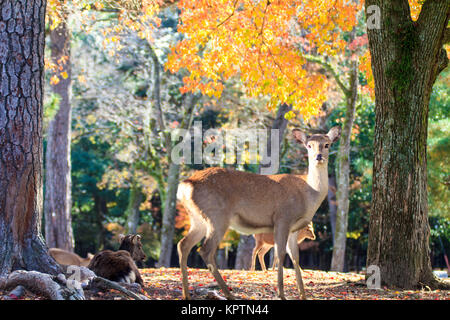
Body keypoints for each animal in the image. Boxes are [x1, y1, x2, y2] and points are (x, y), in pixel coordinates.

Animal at [177, 125, 342, 300]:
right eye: (309, 145)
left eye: (327, 145)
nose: (318, 157)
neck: (308, 194)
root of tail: (185, 185)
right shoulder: (282, 218)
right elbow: (280, 254)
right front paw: (281, 294)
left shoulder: (294, 228)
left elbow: (295, 257)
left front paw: (303, 295)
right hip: (217, 216)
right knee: (205, 250)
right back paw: (229, 294)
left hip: (198, 219)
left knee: (183, 245)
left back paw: (186, 294)